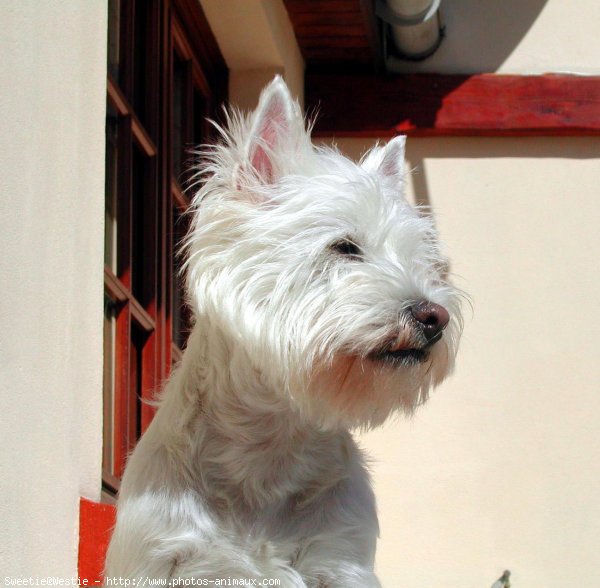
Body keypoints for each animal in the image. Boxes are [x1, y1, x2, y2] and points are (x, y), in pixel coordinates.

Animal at [105, 78, 464, 588]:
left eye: (423, 261)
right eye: (345, 247)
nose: (434, 316)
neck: (270, 445)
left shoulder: (339, 560)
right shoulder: (157, 555)